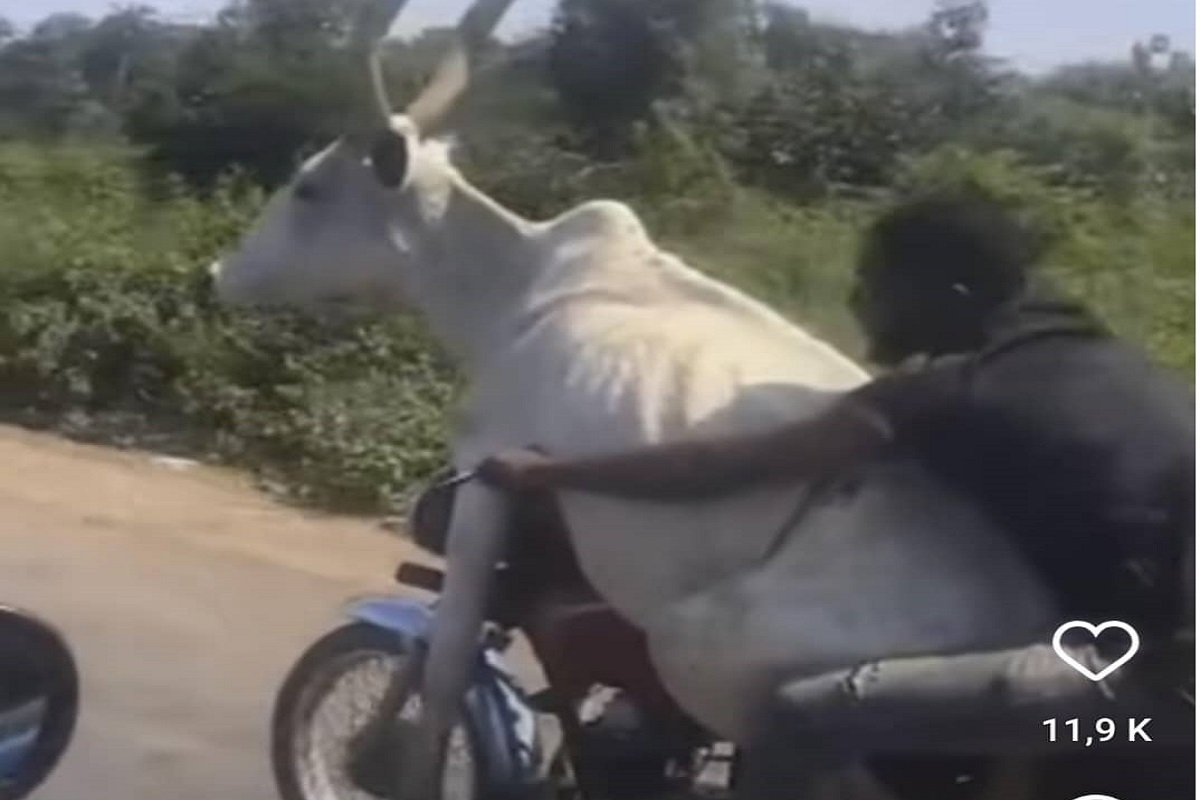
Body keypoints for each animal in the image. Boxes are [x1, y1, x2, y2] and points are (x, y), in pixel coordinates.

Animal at [211, 3, 1056, 796]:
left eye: (309, 187)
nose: (222, 272)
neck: (508, 291)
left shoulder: (486, 470)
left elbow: (442, 671)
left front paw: (380, 762)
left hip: (713, 654)